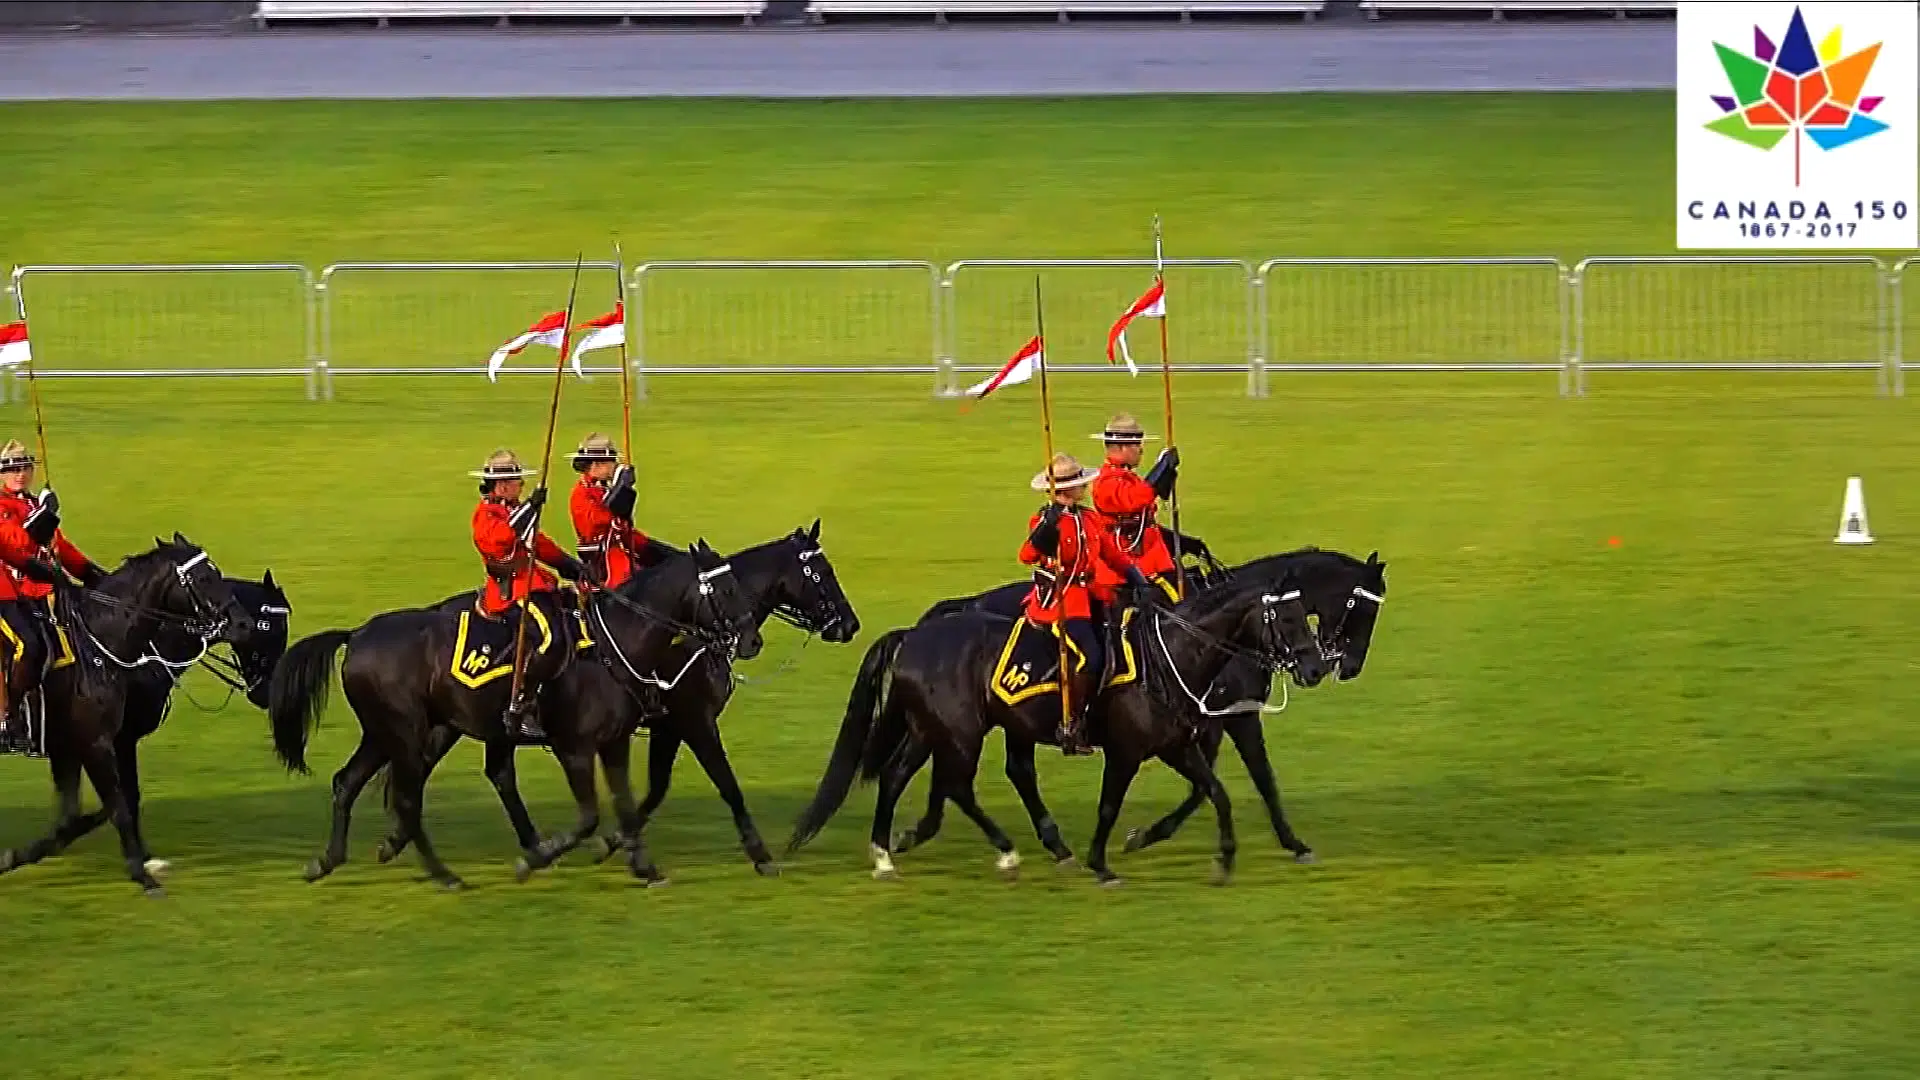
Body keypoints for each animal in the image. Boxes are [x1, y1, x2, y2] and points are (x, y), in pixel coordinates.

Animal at [0, 534, 255, 895]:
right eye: (205, 578)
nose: (244, 625)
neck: (99, 644)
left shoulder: (72, 746)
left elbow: (77, 815)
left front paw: (16, 856)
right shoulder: (97, 744)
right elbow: (118, 806)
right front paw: (141, 873)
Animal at [272, 534, 764, 883]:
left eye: (737, 583)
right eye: (725, 587)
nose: (751, 640)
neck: (614, 645)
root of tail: (356, 634)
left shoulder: (616, 743)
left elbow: (625, 803)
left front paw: (641, 865)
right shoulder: (578, 747)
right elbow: (590, 817)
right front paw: (537, 859)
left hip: (390, 733)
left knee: (349, 783)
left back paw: (329, 861)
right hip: (405, 734)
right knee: (408, 798)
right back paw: (444, 874)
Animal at [364, 522, 856, 883]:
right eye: (820, 574)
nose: (850, 625)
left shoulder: (663, 726)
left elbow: (652, 790)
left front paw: (617, 843)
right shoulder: (690, 719)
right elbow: (722, 784)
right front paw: (759, 854)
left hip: (453, 722)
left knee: (437, 774)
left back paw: (404, 843)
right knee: (417, 775)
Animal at [787, 572, 1328, 883]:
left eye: (1307, 614)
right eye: (1286, 619)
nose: (1315, 667)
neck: (1171, 654)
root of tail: (915, 634)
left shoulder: (1181, 744)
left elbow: (1218, 792)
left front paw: (1226, 858)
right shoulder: (1130, 751)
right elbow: (1112, 805)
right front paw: (1102, 863)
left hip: (933, 731)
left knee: (906, 777)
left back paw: (890, 851)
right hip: (960, 734)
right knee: (958, 784)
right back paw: (1007, 851)